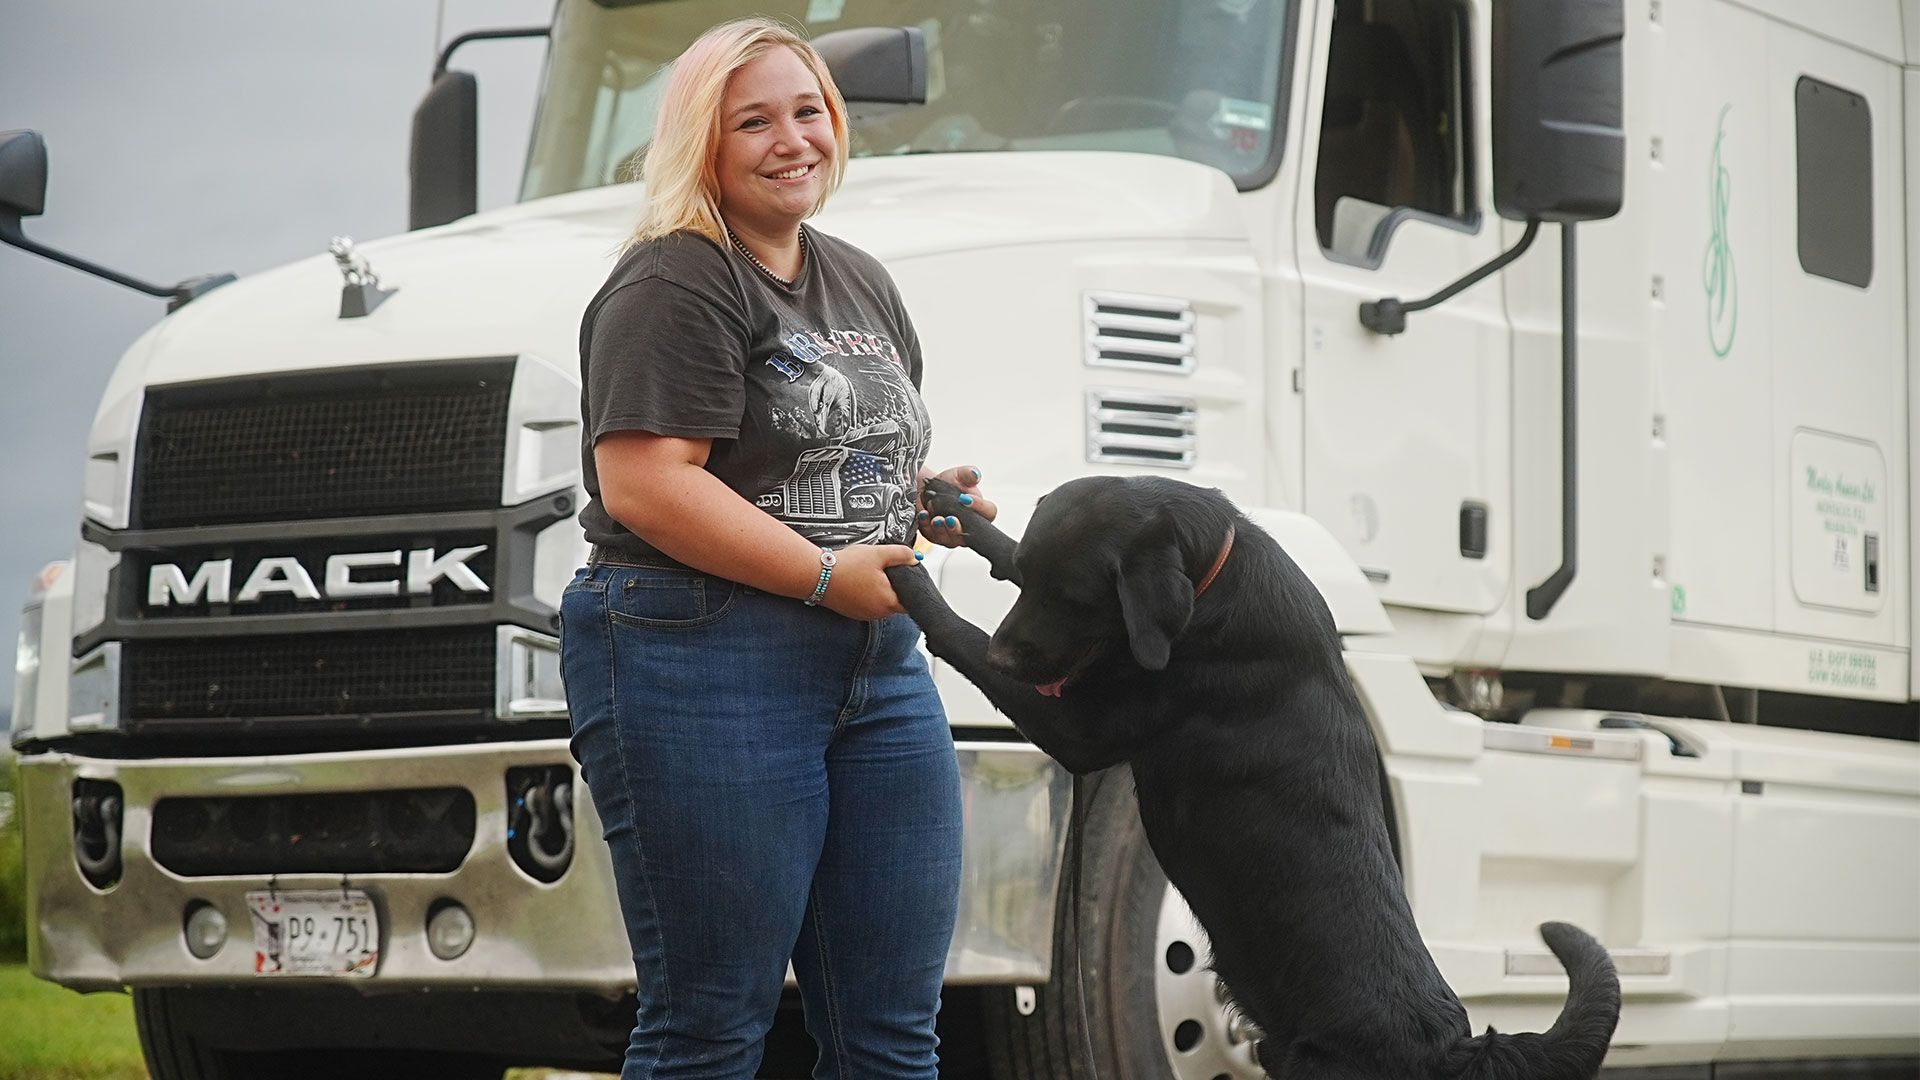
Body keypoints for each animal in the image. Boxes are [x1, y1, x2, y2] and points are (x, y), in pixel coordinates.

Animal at [887, 476, 1620, 1076]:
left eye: (1074, 597)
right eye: (1029, 576)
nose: (1007, 658)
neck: (1214, 575)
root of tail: (1456, 1048)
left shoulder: (1079, 730)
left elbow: (961, 631)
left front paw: (907, 581)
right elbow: (999, 544)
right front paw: (955, 510)